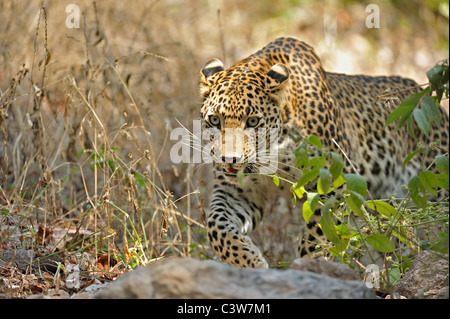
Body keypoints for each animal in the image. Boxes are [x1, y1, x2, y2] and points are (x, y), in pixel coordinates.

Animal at [199, 36, 448, 268]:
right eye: (215, 120)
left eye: (252, 121)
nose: (229, 160)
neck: (274, 151)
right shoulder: (239, 191)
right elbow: (215, 225)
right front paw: (250, 262)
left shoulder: (333, 184)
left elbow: (318, 235)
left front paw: (310, 267)